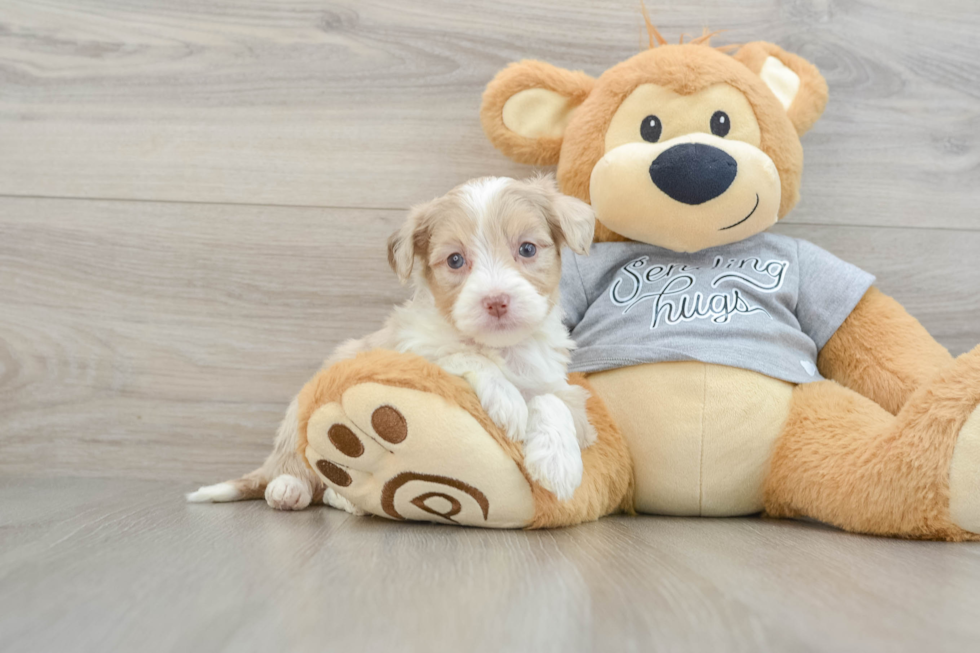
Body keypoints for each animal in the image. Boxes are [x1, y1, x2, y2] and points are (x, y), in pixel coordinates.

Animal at [187, 174, 592, 510]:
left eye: (527, 249)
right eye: (455, 260)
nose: (496, 301)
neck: (502, 347)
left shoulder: (556, 383)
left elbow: (553, 401)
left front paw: (558, 463)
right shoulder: (410, 350)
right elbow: (463, 354)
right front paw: (507, 401)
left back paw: (342, 499)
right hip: (300, 413)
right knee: (294, 464)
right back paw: (289, 488)